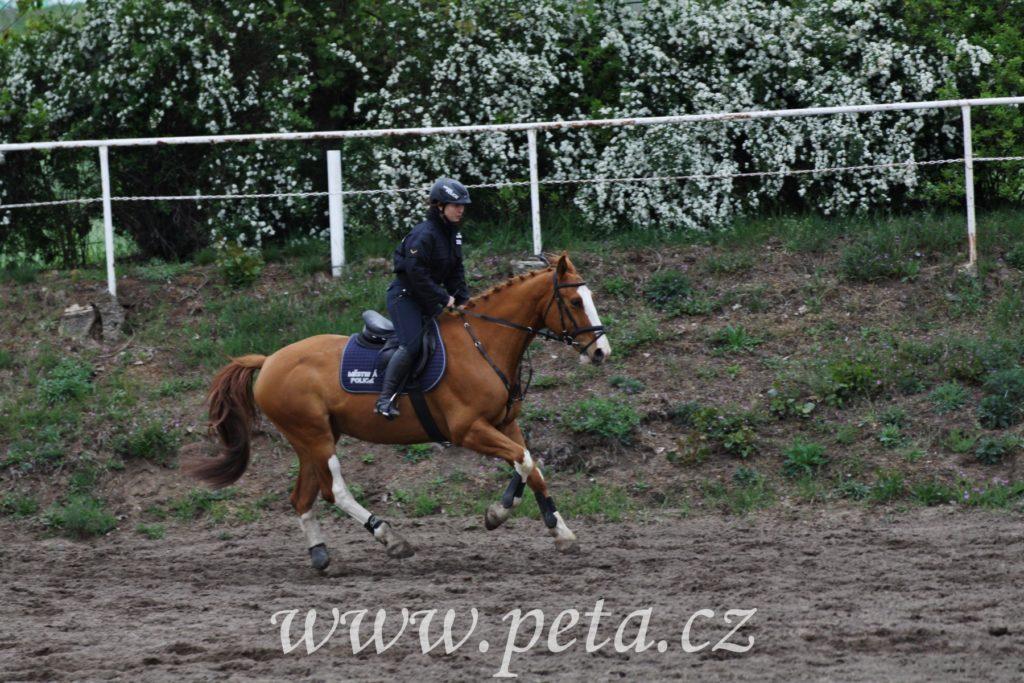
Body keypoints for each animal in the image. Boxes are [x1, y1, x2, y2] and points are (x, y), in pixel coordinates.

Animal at [187, 252, 612, 571]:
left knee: (303, 498)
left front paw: (559, 532)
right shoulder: (468, 430)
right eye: (575, 302)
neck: (484, 342)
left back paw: (321, 555)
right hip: (315, 437)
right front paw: (499, 513)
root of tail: (270, 359)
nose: (601, 351)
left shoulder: (505, 424)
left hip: (312, 439)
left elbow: (531, 467)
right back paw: (390, 538)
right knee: (333, 490)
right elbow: (523, 462)